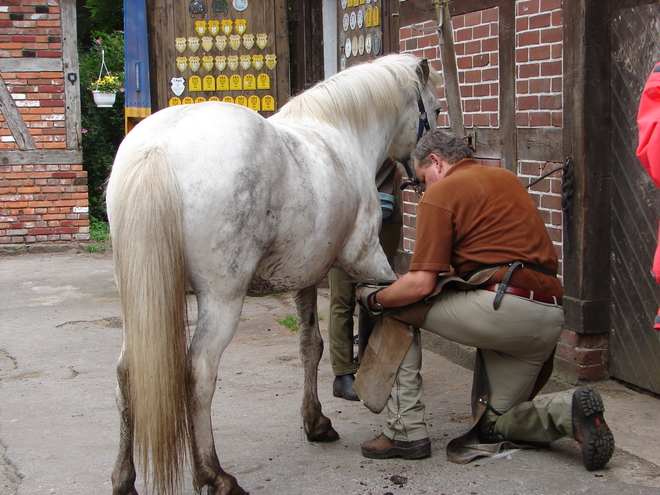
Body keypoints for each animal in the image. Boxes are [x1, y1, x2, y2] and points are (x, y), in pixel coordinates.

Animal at [107, 54, 438, 495]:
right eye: (435, 111)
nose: (422, 177)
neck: (340, 134)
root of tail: (156, 148)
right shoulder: (367, 259)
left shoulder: (303, 278)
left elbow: (310, 347)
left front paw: (316, 423)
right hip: (221, 301)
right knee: (199, 373)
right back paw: (214, 475)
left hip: (140, 298)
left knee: (127, 373)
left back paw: (125, 479)